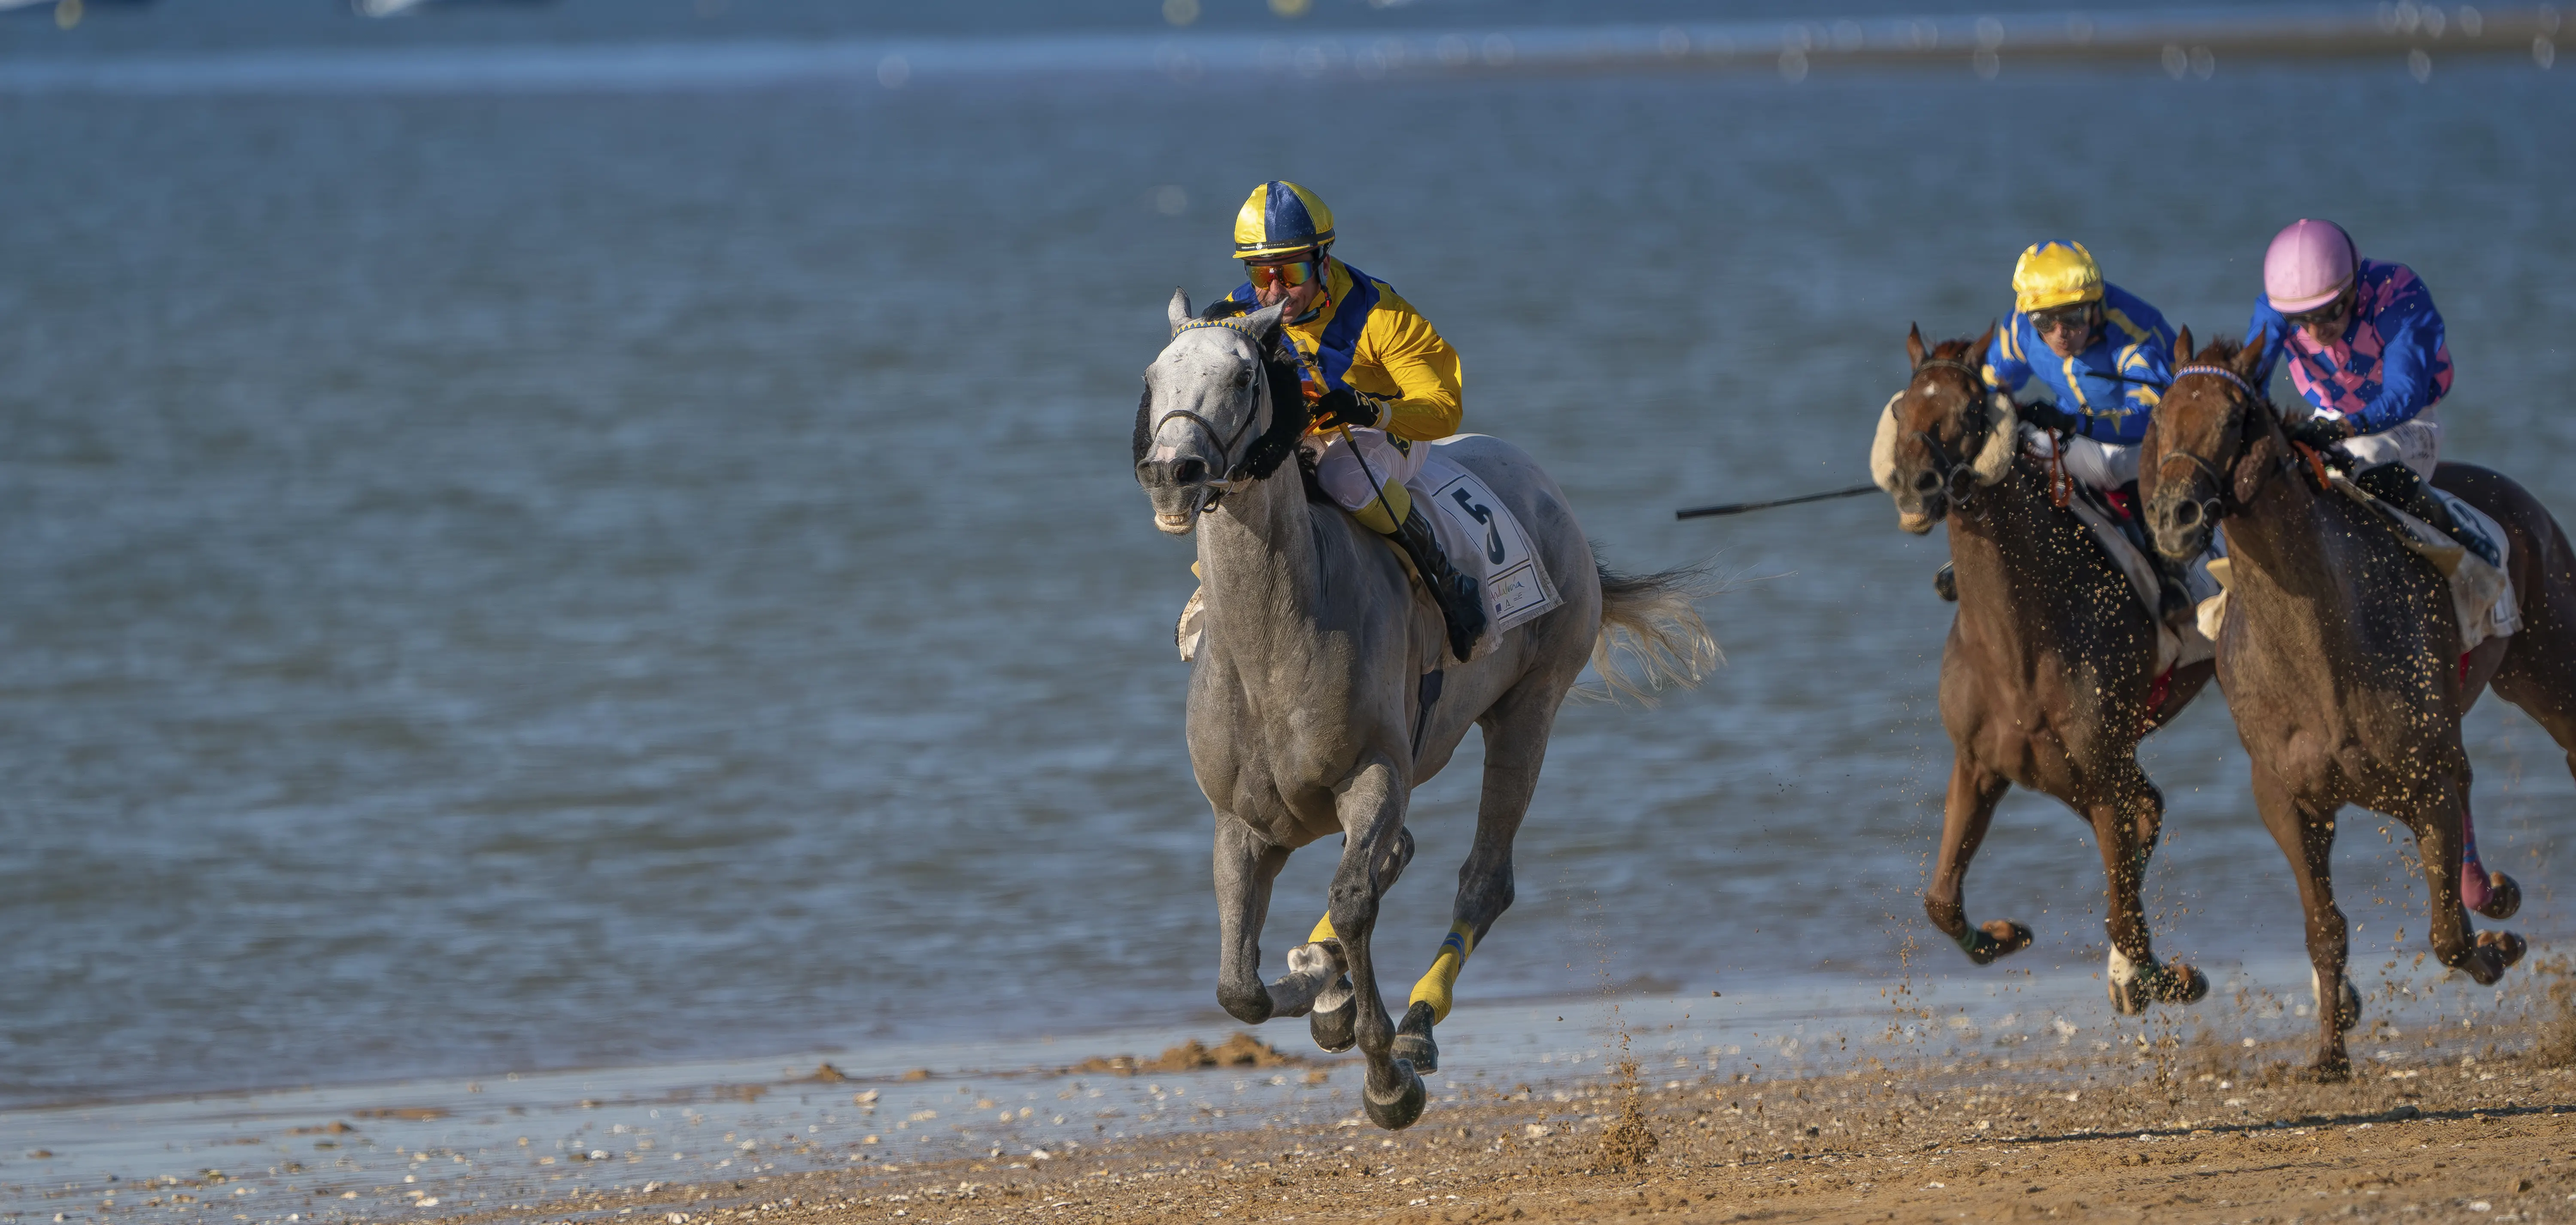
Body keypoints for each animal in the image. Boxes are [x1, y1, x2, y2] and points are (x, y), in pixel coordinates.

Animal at [1131, 290, 1714, 1130]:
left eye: (1243, 378)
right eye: (1154, 377)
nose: (1172, 472)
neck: (1274, 645)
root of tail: (1533, 477)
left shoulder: (1375, 772)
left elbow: (1352, 900)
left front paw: (1386, 1071)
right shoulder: (1241, 821)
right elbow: (1240, 986)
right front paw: (1317, 986)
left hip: (1530, 708)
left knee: (1484, 877)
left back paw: (1416, 1024)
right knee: (1397, 856)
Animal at [1872, 326, 2217, 1014]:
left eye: (1970, 409)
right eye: (1903, 407)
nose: (1916, 485)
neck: (2017, 646)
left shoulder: (2099, 767)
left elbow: (2125, 907)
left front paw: (2159, 977)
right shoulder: (1984, 763)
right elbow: (1940, 900)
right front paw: (2002, 934)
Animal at [2139, 331, 2570, 1078]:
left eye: (2235, 417)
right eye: (2161, 415)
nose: (2174, 516)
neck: (2320, 648)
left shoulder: (2425, 778)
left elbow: (2449, 935)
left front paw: (2497, 950)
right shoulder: (2287, 798)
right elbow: (2326, 928)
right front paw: (2328, 1053)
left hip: (2547, 663)